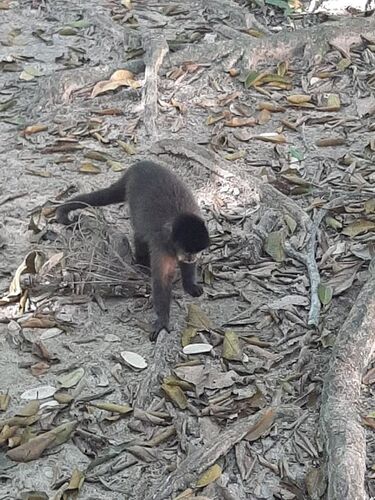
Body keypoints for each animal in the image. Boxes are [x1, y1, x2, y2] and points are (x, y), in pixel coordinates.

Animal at [55, 162, 210, 342]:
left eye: (195, 252)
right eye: (187, 251)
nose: (191, 257)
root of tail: (138, 166)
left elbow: (187, 268)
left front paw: (190, 285)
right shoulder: (162, 244)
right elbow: (161, 280)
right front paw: (162, 320)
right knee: (140, 234)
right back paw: (142, 263)